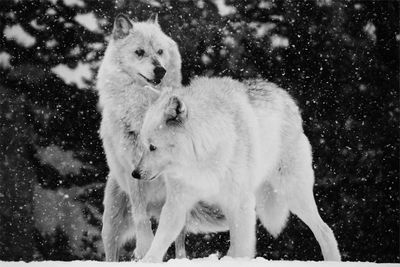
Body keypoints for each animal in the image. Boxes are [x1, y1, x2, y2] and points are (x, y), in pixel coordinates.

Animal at [134, 76, 340, 262]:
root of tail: (285, 97)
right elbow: (159, 241)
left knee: (325, 231)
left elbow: (243, 247)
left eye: (152, 147)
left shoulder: (241, 203)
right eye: (143, 145)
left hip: (292, 195)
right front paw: (147, 261)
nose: (134, 174)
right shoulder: (177, 203)